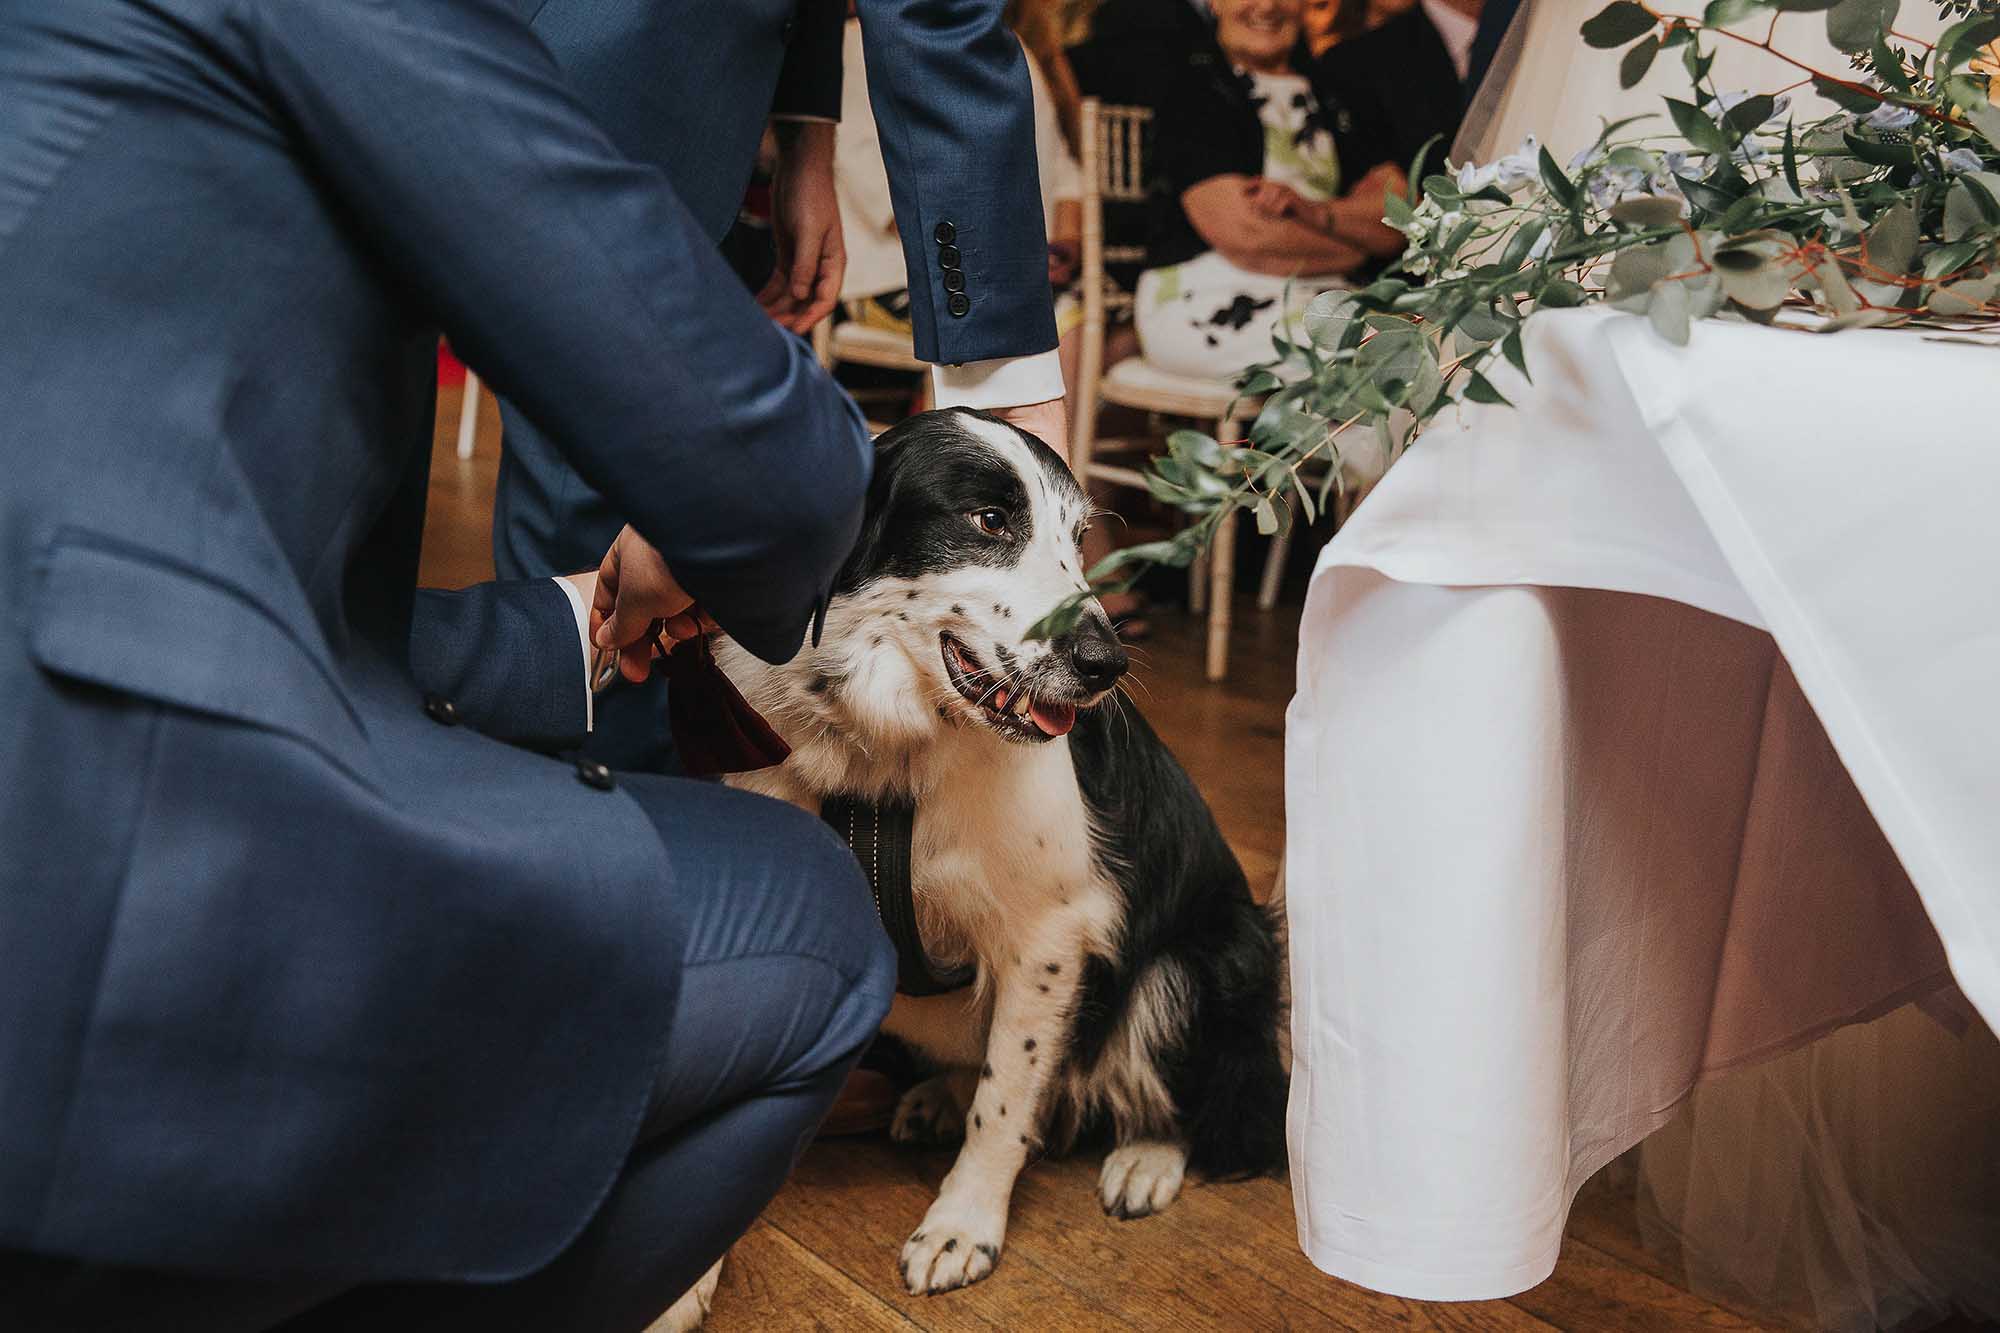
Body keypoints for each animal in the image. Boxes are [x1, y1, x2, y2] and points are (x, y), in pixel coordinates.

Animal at [712, 404, 1288, 1288]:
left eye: (1078, 539)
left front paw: (963, 1223)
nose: (1105, 662)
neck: (890, 752)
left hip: (1203, 962)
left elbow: (1008, 1098)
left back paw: (1147, 1157)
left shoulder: (1050, 935)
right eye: (988, 521)